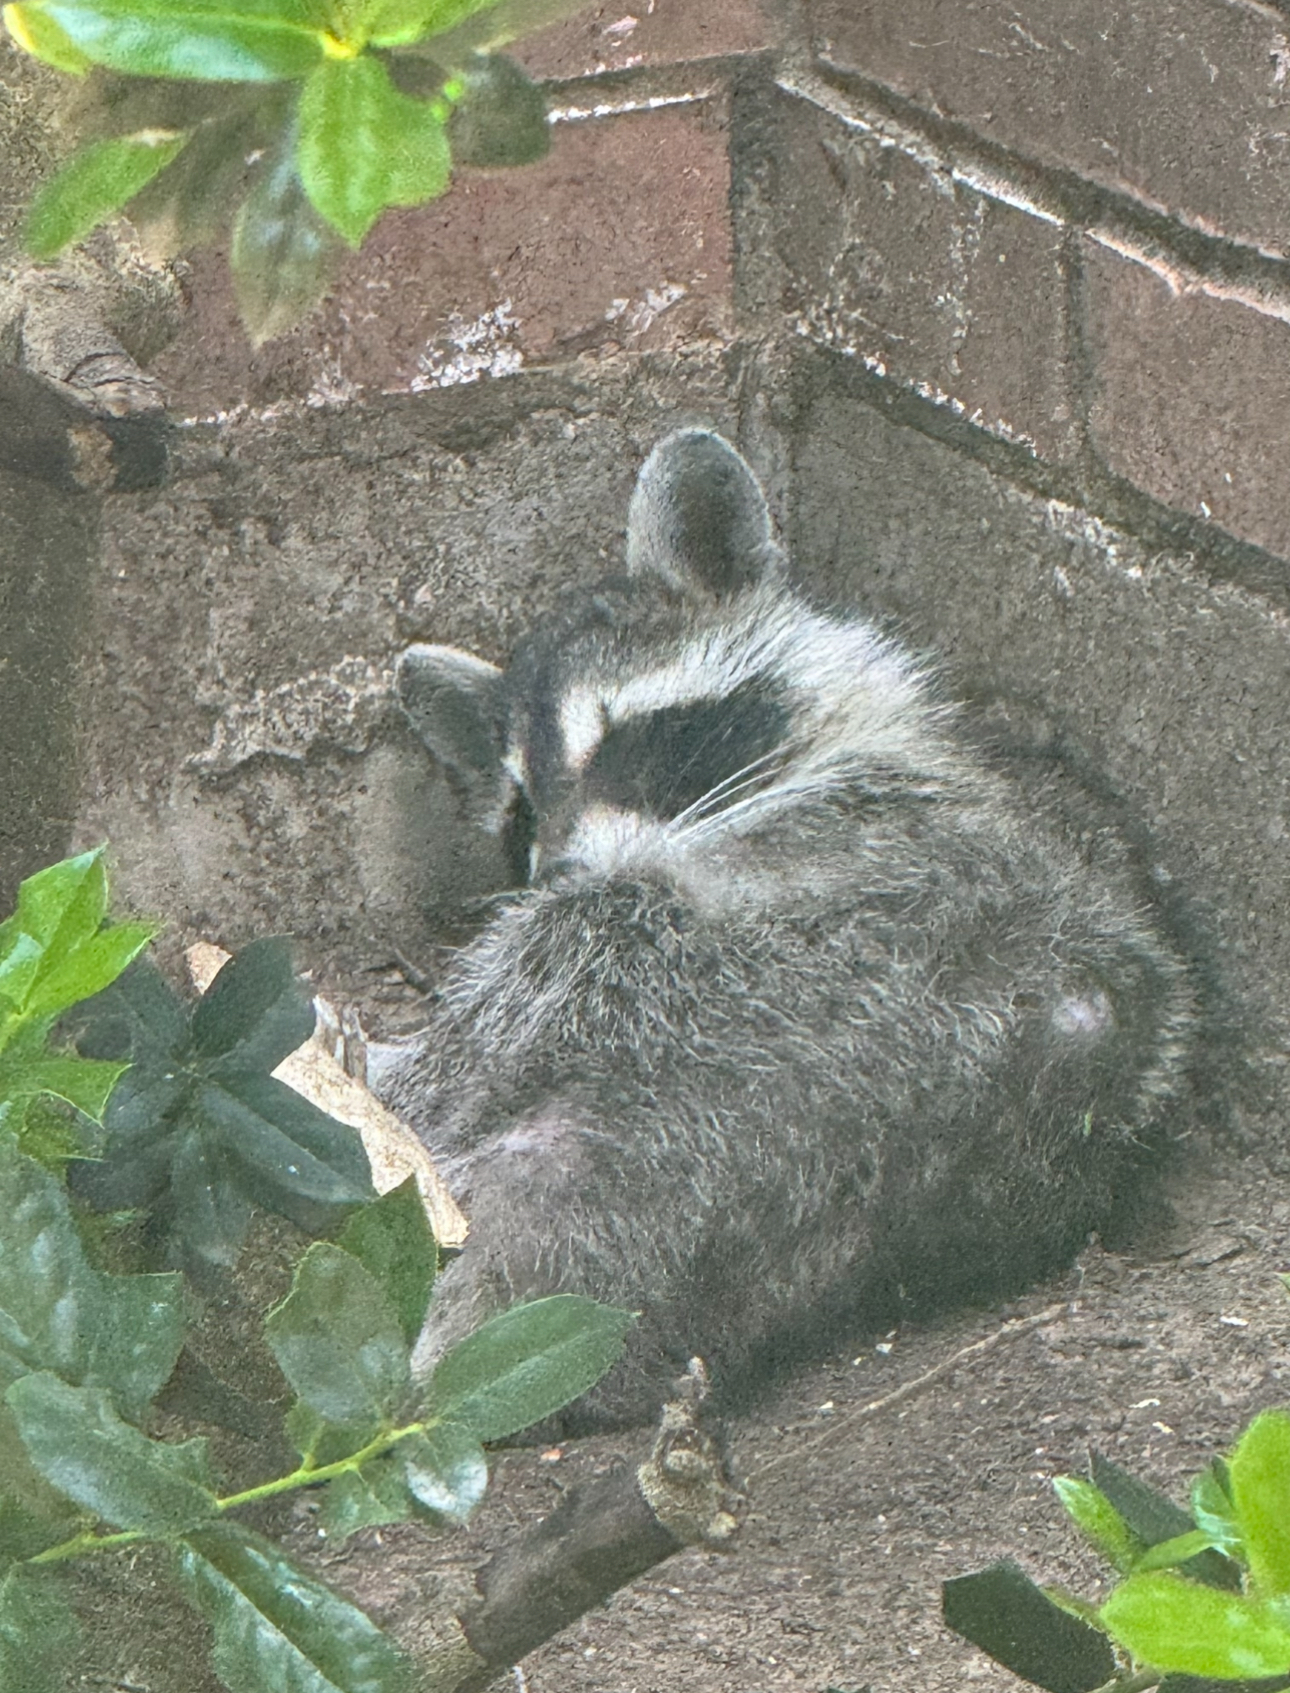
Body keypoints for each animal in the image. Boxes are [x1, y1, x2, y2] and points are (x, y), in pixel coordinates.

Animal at [380, 429, 1194, 1426]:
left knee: (551, 970)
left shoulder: (856, 823)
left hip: (794, 965)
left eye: (623, 742)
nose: (559, 870)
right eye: (520, 812)